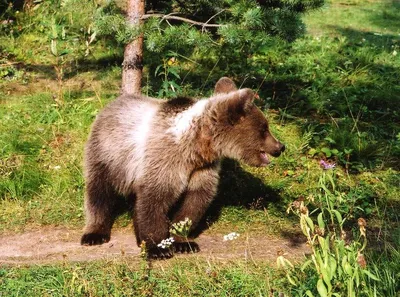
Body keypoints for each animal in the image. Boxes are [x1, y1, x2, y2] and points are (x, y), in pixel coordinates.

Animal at [82, 77, 284, 258]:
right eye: (264, 129)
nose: (280, 146)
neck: (196, 146)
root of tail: (114, 102)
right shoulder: (165, 161)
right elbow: (154, 201)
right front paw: (158, 248)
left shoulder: (202, 169)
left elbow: (193, 204)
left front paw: (184, 243)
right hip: (107, 155)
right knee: (99, 192)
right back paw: (94, 234)